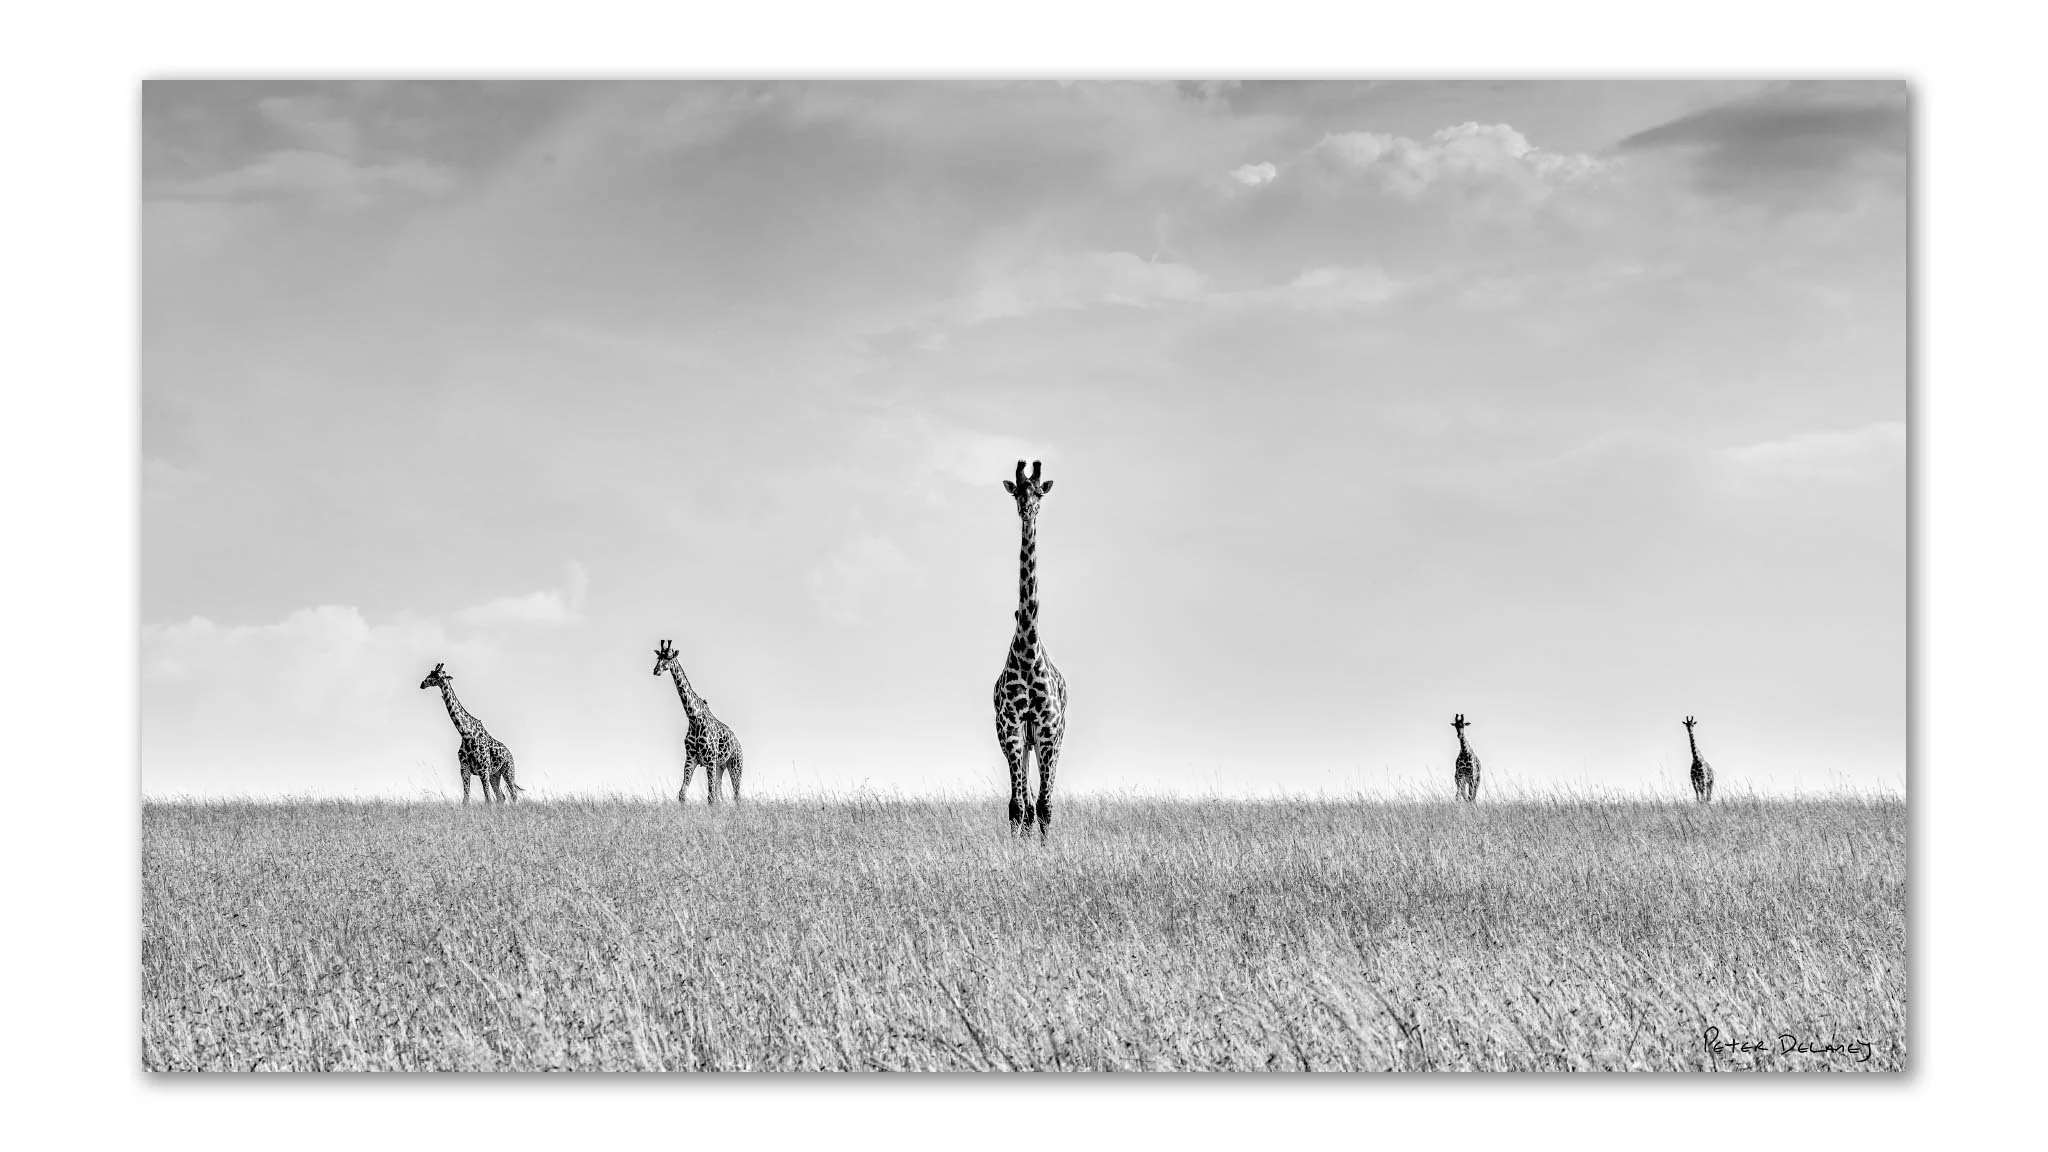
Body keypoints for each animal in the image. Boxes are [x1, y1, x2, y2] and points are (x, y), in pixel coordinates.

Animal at [418, 663, 521, 804]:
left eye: (436, 674)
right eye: (430, 672)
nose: (422, 683)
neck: (466, 734)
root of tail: (510, 753)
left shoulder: (483, 770)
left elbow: (488, 800)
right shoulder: (464, 769)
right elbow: (466, 800)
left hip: (507, 770)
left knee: (513, 794)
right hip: (495, 774)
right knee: (501, 796)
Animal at [652, 640, 744, 805]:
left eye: (669, 658)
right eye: (658, 658)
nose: (656, 670)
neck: (693, 719)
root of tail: (738, 744)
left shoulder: (710, 759)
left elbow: (710, 797)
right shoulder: (691, 758)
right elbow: (682, 794)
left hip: (735, 764)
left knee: (736, 795)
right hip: (721, 766)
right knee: (720, 794)